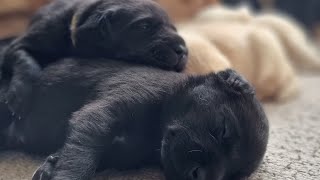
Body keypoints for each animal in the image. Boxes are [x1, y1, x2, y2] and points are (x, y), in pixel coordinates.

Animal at [0, 0, 188, 119]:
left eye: (174, 28)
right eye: (144, 26)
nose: (183, 51)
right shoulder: (20, 44)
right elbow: (26, 61)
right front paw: (19, 96)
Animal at [0, 39, 268, 179]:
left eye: (230, 177)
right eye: (223, 130)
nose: (200, 176)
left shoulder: (118, 152)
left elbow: (80, 154)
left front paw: (51, 165)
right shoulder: (99, 117)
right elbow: (80, 160)